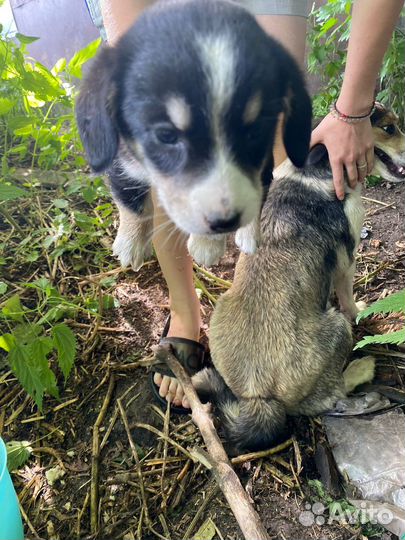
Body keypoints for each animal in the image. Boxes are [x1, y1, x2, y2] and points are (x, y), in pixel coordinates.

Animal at [76, 0, 310, 268]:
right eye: (166, 135)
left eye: (256, 130)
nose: (226, 222)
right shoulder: (121, 160)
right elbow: (129, 198)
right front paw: (131, 243)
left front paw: (207, 245)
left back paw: (249, 235)